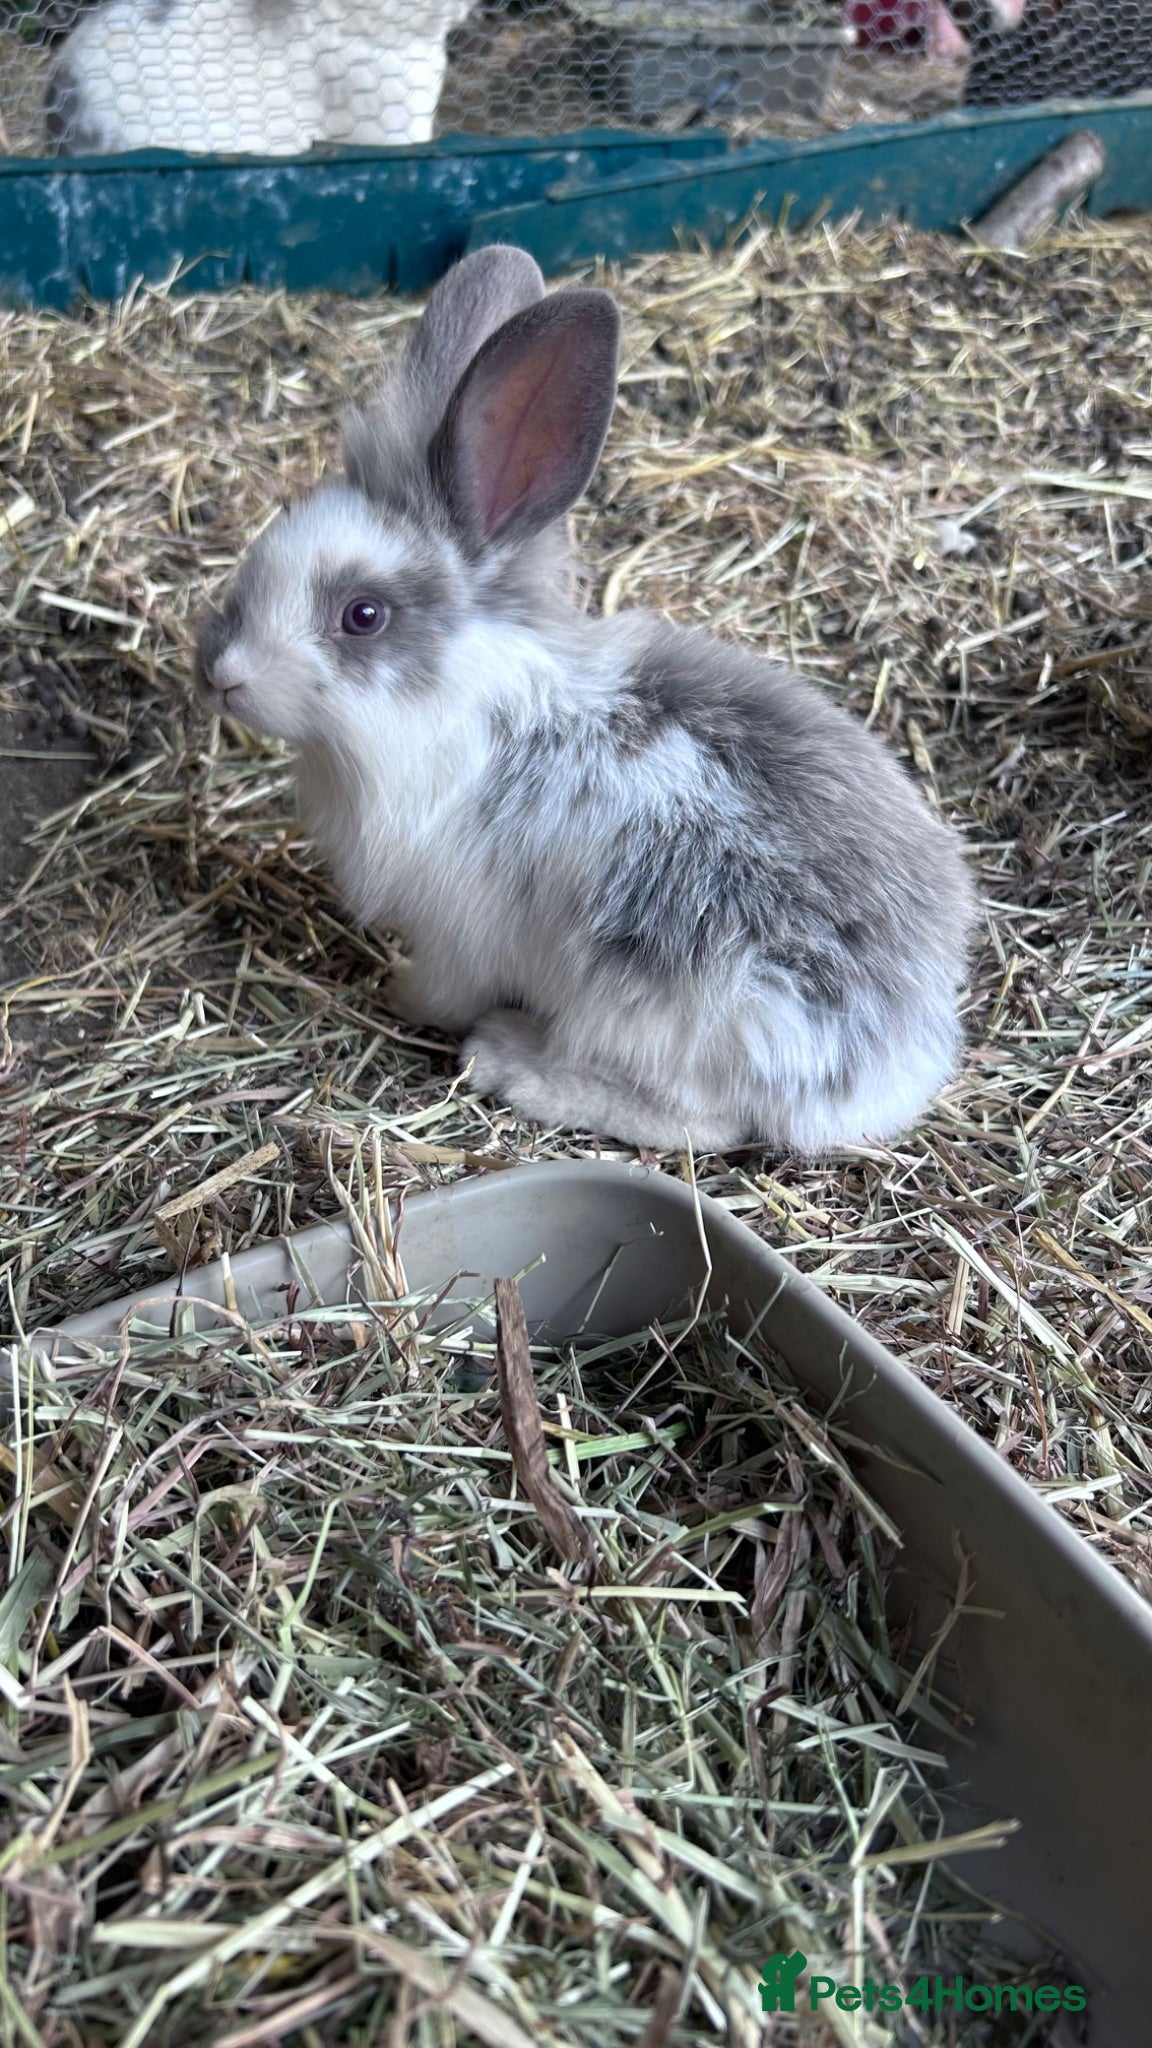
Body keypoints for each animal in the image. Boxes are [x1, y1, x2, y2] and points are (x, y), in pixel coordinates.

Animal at [195, 244, 979, 1155]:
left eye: (362, 615)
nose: (218, 673)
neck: (460, 703)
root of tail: (896, 1065)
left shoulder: (457, 931)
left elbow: (442, 988)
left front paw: (399, 995)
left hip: (660, 1007)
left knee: (706, 1122)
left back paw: (513, 1062)